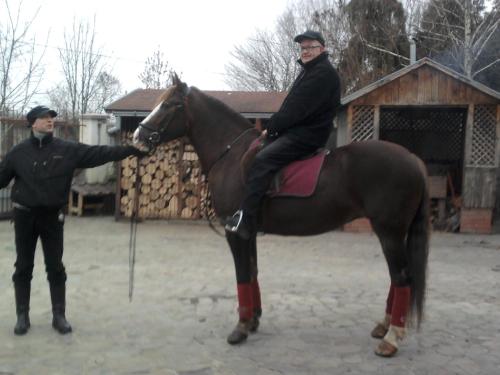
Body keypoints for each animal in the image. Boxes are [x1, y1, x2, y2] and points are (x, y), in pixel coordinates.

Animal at [134, 77, 430, 358]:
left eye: (170, 105)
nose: (138, 136)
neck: (231, 155)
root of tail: (413, 159)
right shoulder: (248, 231)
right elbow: (252, 271)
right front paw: (253, 319)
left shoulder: (234, 232)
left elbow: (242, 274)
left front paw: (241, 327)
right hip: (394, 233)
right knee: (397, 278)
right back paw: (385, 326)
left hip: (389, 231)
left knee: (402, 277)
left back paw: (391, 338)